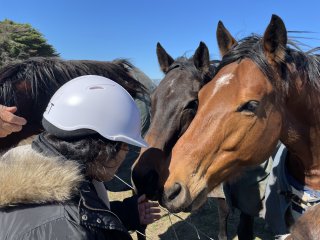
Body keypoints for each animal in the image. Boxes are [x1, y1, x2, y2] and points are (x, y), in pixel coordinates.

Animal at [135, 14, 320, 236]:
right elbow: (223, 218)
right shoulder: (222, 194)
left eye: (192, 103)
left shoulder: (248, 205)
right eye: (153, 99)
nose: (141, 176)